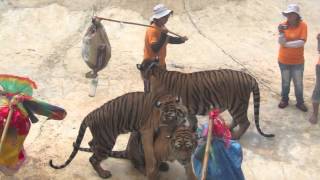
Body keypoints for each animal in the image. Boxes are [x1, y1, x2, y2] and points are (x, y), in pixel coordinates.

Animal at [48, 92, 189, 179]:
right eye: (170, 115)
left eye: (178, 113)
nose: (180, 121)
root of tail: (91, 114)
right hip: (107, 141)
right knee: (94, 159)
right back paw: (104, 174)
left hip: (101, 138)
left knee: (91, 144)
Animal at [136, 58, 274, 140]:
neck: (156, 72)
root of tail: (250, 77)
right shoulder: (188, 109)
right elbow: (192, 121)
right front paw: (192, 130)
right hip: (235, 106)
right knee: (237, 121)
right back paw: (228, 128)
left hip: (237, 105)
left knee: (245, 122)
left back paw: (235, 136)